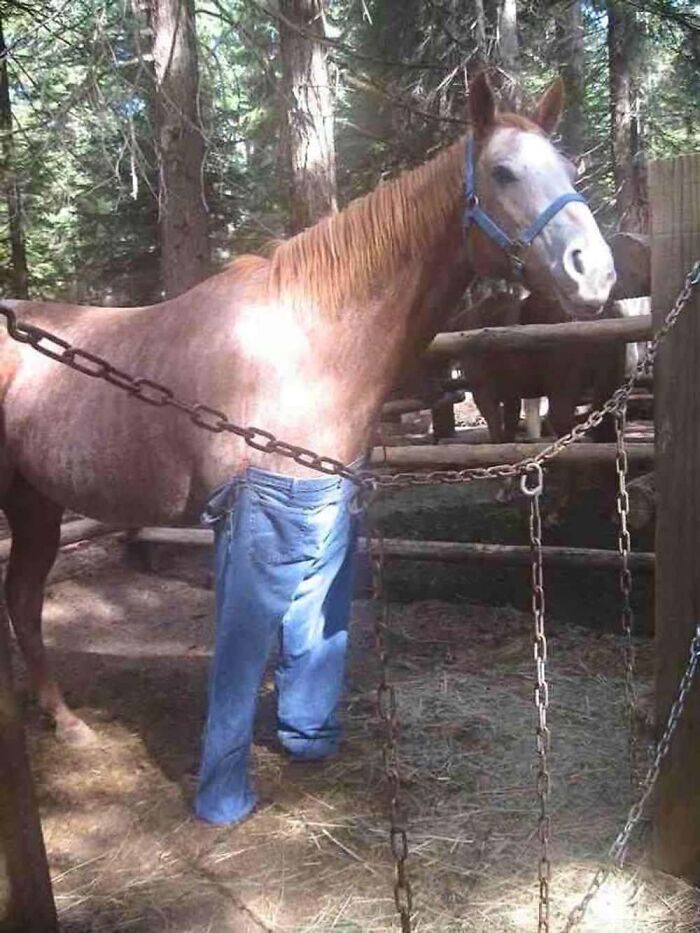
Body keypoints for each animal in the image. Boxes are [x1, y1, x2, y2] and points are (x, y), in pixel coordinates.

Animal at [0, 74, 615, 745]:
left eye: (570, 169)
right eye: (503, 172)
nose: (595, 273)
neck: (304, 345)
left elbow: (305, 633)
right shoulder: (243, 520)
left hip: (36, 505)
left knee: (23, 601)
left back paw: (63, 719)